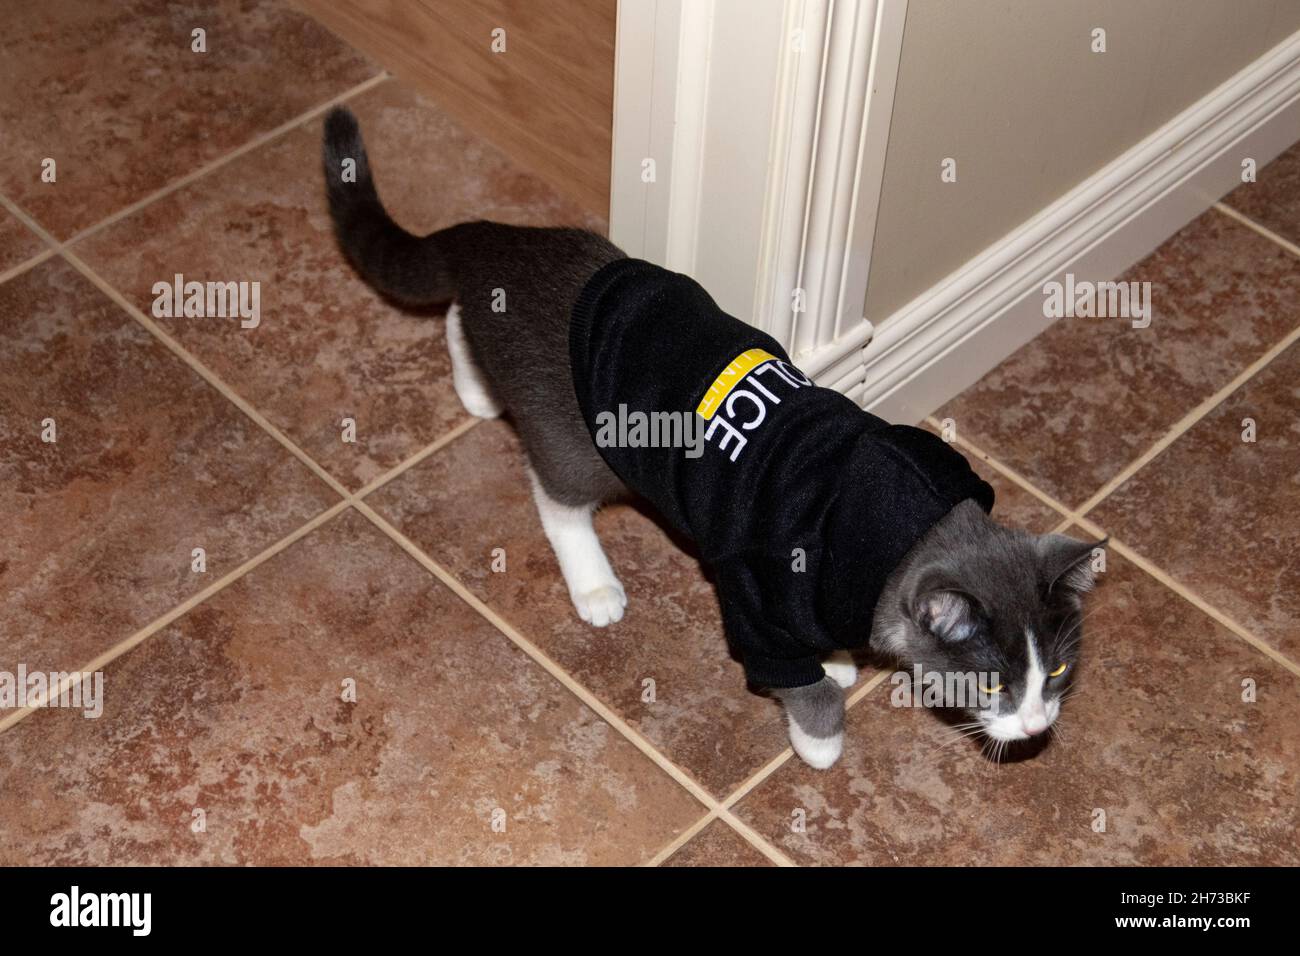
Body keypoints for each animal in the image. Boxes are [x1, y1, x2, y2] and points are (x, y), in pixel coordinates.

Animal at [319, 108, 1102, 770]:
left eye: (1059, 671)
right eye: (994, 686)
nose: (1038, 725)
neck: (905, 521)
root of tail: (502, 241)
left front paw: (839, 656)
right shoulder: (755, 589)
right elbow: (798, 681)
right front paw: (820, 738)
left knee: (456, 319)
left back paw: (477, 390)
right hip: (574, 435)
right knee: (556, 494)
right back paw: (593, 581)